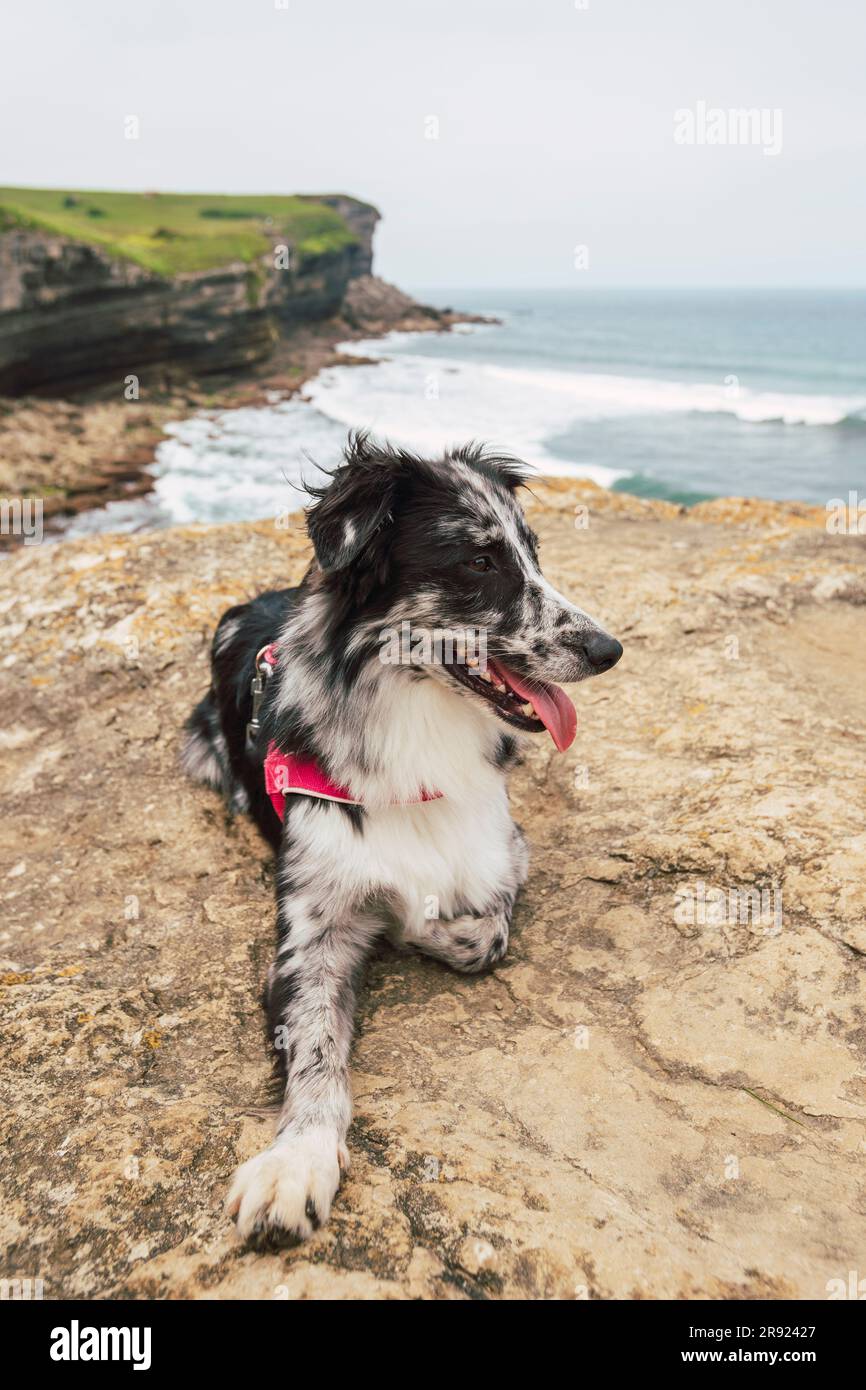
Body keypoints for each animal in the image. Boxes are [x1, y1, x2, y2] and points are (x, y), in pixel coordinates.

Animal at [180, 430, 622, 1239]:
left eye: (533, 552)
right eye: (478, 562)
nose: (610, 650)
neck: (415, 718)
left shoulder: (507, 850)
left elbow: (482, 934)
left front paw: (414, 922)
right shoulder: (308, 922)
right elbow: (316, 1046)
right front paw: (297, 1160)